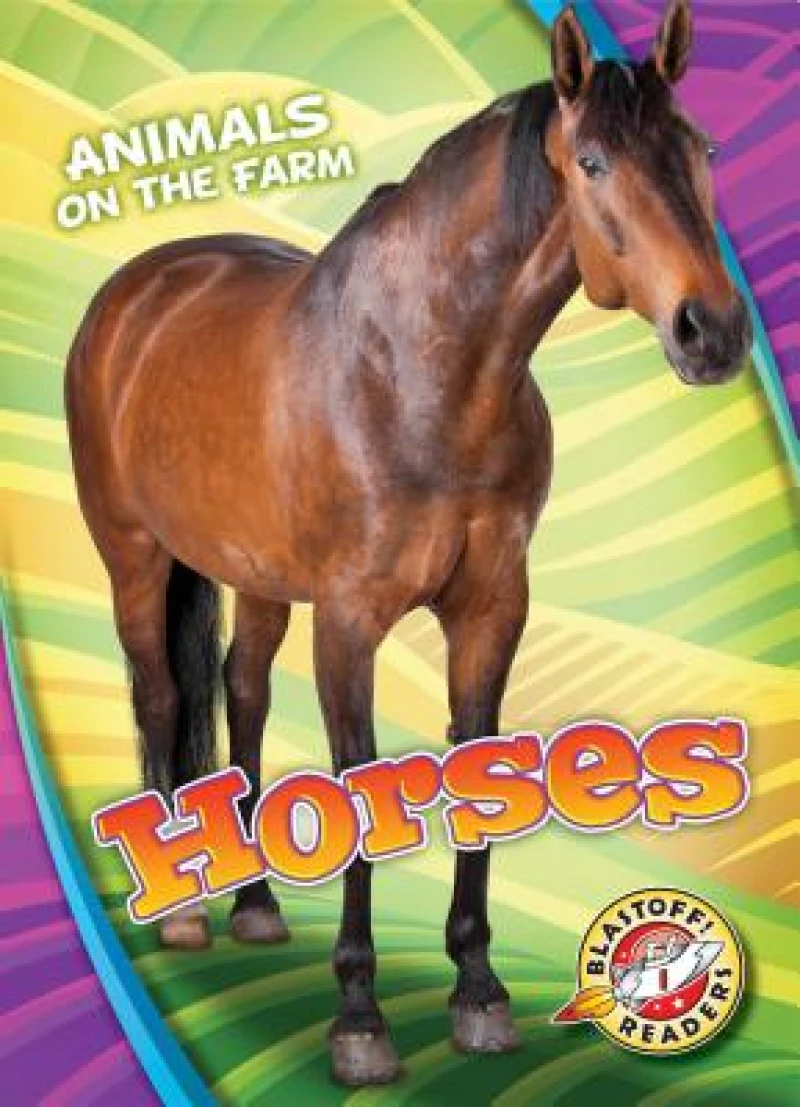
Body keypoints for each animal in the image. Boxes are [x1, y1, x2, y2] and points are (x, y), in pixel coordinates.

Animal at [66, 0, 751, 1086]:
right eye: (593, 161)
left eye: (702, 150)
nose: (711, 332)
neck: (427, 372)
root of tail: (133, 292)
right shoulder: (349, 619)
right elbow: (355, 785)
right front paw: (359, 1019)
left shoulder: (490, 608)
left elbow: (477, 767)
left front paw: (478, 995)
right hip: (134, 555)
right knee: (162, 693)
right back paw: (180, 914)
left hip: (258, 578)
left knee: (241, 691)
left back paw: (256, 906)